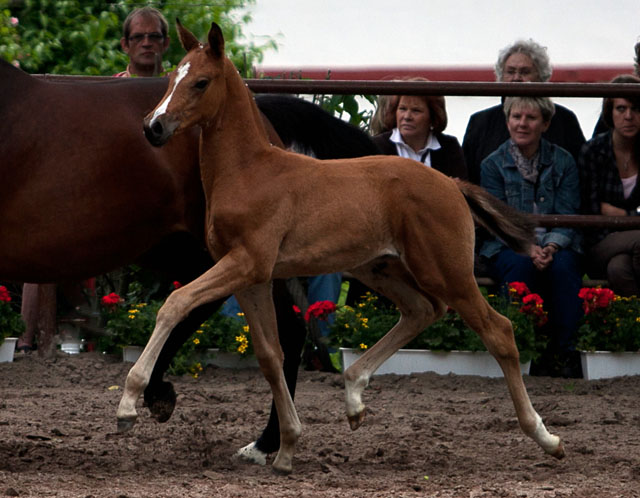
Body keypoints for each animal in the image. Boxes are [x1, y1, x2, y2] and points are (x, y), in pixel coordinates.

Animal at [117, 22, 564, 474]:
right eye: (171, 79)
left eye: (201, 82)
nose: (153, 127)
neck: (250, 172)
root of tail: (453, 184)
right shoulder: (251, 276)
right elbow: (270, 355)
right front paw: (286, 448)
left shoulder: (246, 263)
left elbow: (175, 303)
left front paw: (128, 405)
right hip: (381, 268)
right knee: (422, 310)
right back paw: (353, 398)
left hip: (447, 272)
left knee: (499, 331)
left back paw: (546, 438)